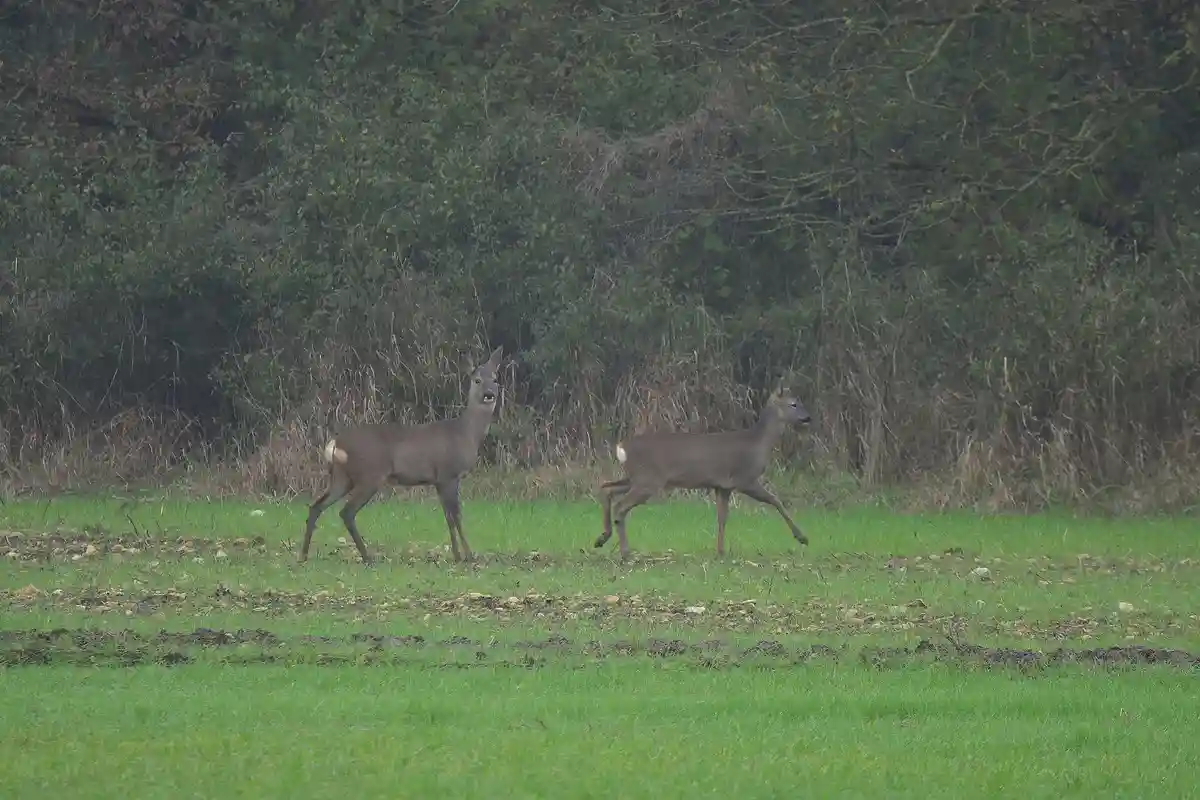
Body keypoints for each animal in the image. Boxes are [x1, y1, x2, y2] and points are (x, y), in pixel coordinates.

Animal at [299, 346, 504, 565]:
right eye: (477, 380)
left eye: (495, 378)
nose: (489, 394)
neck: (466, 433)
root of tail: (336, 443)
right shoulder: (449, 474)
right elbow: (456, 516)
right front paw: (468, 556)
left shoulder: (439, 480)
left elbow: (448, 516)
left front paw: (458, 555)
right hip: (369, 475)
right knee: (346, 512)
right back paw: (368, 558)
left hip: (341, 477)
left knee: (316, 506)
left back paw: (303, 556)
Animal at [595, 387, 813, 560]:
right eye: (793, 404)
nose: (808, 417)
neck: (759, 444)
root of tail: (621, 447)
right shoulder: (745, 479)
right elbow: (776, 500)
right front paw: (802, 537)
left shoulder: (723, 486)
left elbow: (722, 518)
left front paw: (720, 551)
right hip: (648, 480)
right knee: (620, 506)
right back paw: (625, 553)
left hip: (636, 478)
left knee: (606, 488)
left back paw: (602, 538)